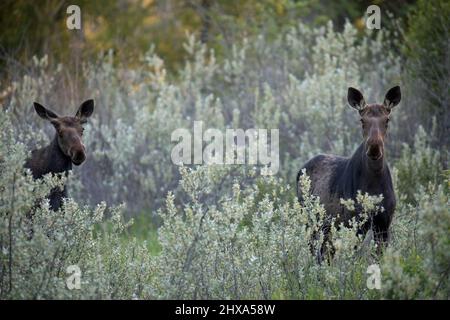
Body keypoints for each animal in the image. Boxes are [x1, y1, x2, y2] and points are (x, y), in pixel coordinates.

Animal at [298, 86, 400, 262]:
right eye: (362, 120)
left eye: (387, 120)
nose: (374, 147)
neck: (374, 183)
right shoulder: (355, 223)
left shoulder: (383, 223)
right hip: (311, 219)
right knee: (315, 249)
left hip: (327, 226)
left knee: (325, 252)